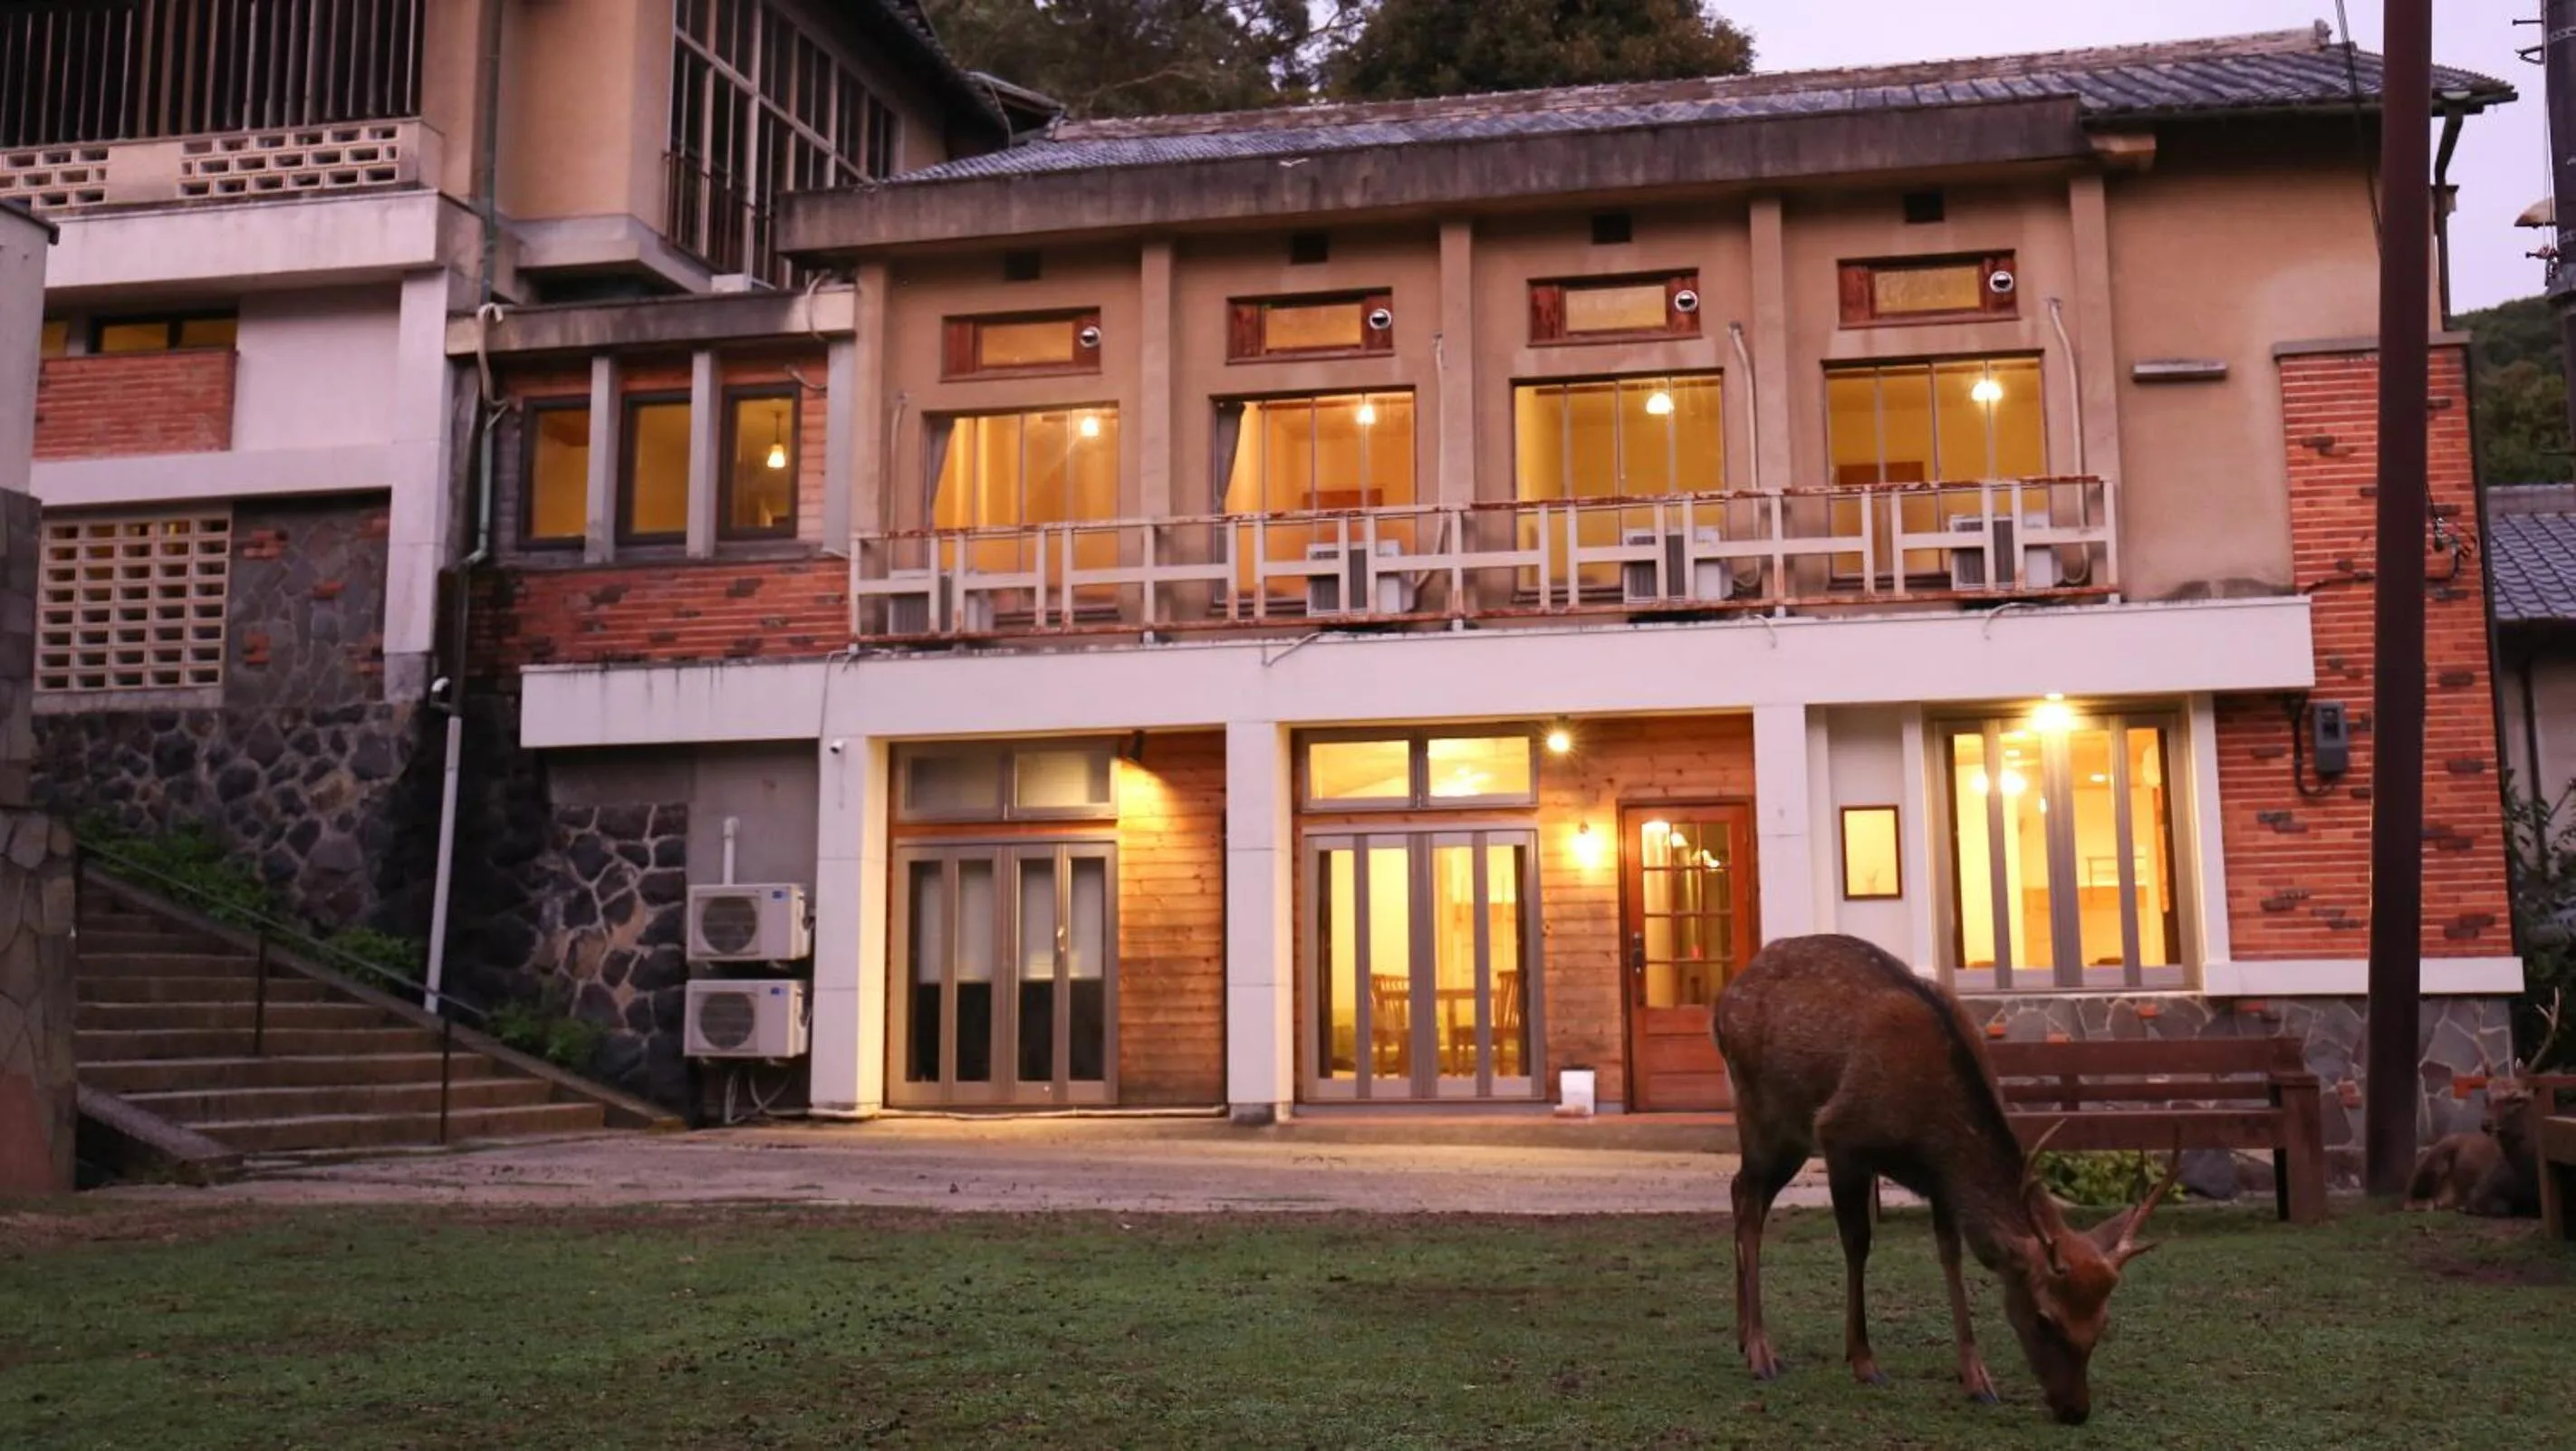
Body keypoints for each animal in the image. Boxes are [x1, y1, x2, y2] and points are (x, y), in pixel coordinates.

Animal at [1713, 933, 2179, 1426]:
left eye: (2103, 1323)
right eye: (2044, 1318)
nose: (2075, 1410)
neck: (1929, 1129)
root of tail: (1724, 998)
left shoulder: (1940, 1181)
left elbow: (1950, 1256)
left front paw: (1977, 1379)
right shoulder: (1841, 1138)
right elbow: (1857, 1245)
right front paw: (1863, 1360)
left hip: (1789, 1135)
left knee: (1742, 1192)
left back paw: (1743, 1336)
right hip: (1764, 1114)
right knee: (1750, 1204)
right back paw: (1761, 1351)